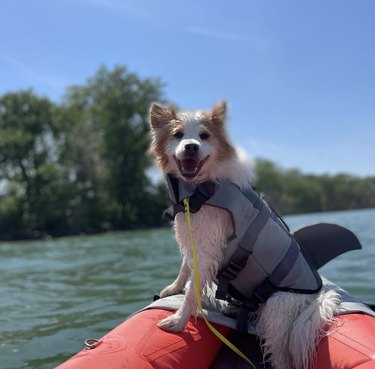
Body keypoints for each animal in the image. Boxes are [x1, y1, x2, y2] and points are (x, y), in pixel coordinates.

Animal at [148, 100, 342, 368]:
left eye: (204, 136)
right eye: (177, 135)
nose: (191, 147)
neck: (202, 187)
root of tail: (314, 300)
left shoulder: (207, 250)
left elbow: (192, 291)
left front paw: (178, 321)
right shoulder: (193, 236)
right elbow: (185, 268)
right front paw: (173, 288)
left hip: (275, 313)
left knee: (282, 357)